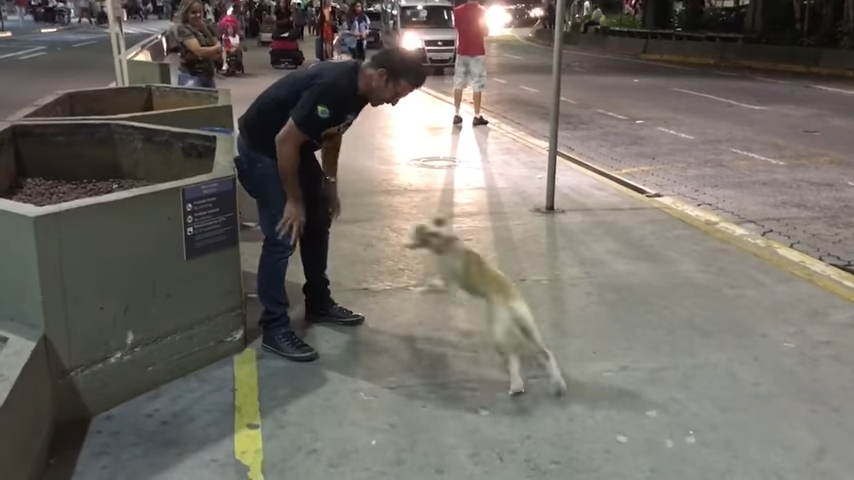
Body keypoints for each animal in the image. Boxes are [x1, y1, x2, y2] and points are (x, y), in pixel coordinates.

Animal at [406, 218, 568, 398]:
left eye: (415, 235)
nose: (407, 244)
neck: (445, 241)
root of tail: (512, 302)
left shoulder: (450, 284)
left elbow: (435, 285)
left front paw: (419, 290)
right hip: (528, 325)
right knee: (544, 353)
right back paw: (554, 383)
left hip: (500, 328)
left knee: (511, 354)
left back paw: (516, 384)